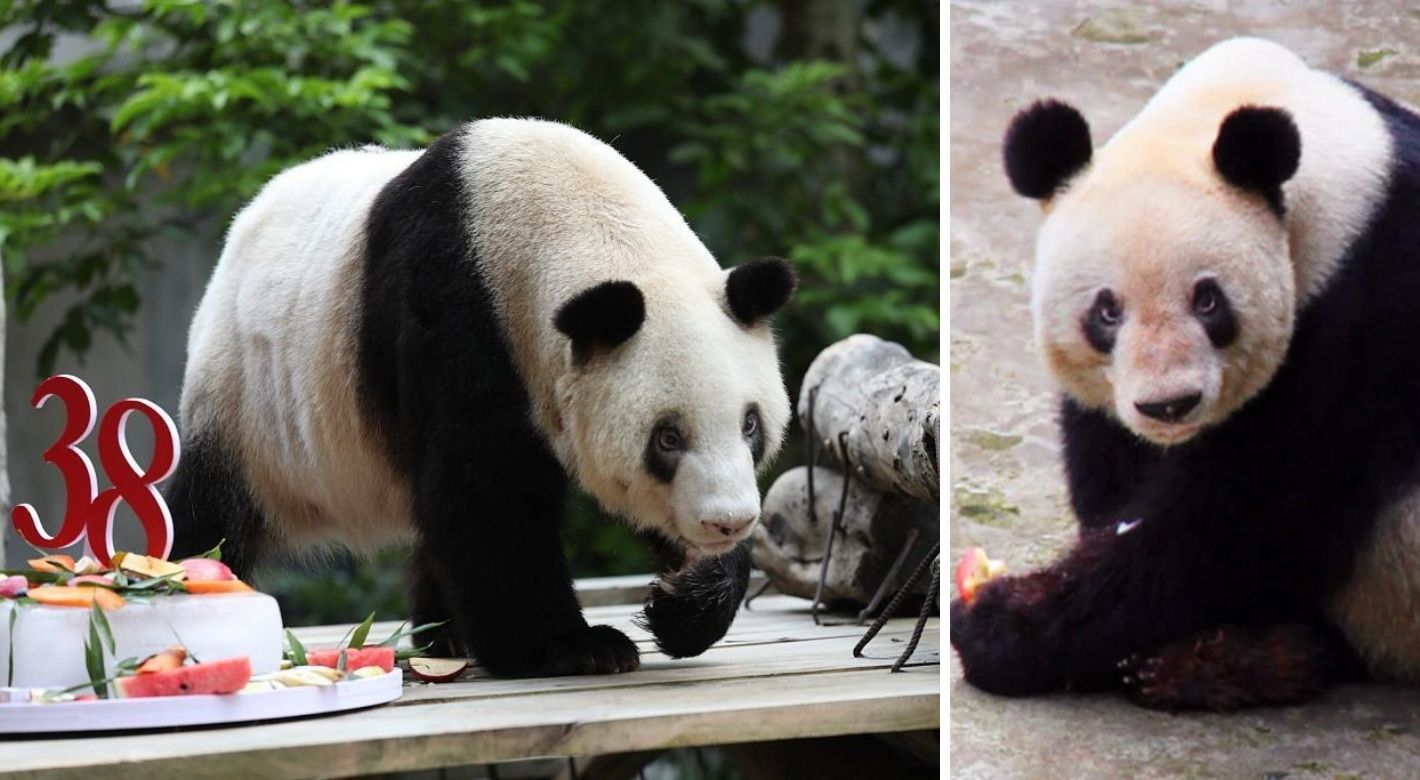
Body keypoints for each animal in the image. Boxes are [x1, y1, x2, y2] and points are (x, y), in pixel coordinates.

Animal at [165, 118, 796, 678]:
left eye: (750, 425)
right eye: (667, 437)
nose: (727, 523)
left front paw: (684, 599)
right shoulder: (459, 318)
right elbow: (483, 492)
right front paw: (572, 647)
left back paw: (442, 637)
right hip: (248, 396)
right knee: (211, 514)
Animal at [950, 37, 1420, 710]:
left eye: (1208, 300)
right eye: (1107, 310)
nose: (1169, 405)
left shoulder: (1364, 312)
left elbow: (1250, 518)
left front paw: (1003, 624)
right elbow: (1114, 464)